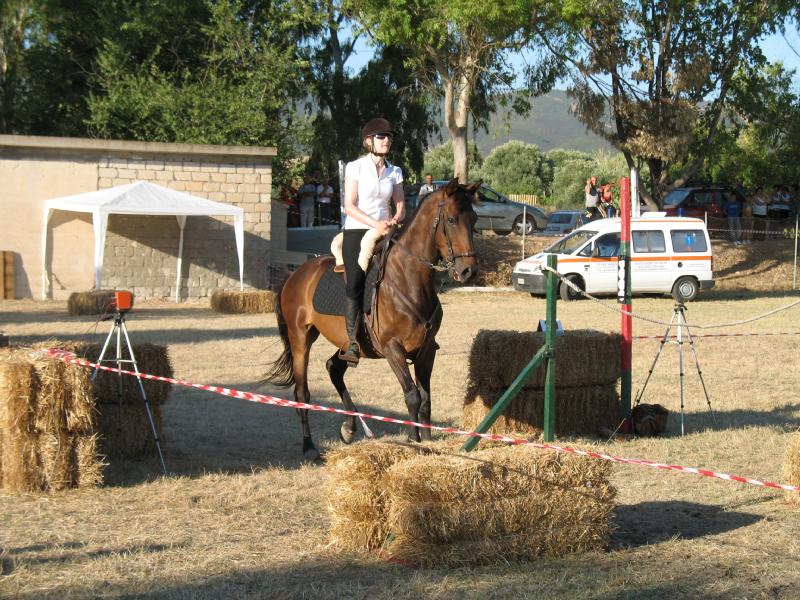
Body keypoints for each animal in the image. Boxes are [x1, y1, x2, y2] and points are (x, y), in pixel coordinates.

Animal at [264, 178, 480, 460]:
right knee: (302, 392)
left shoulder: (427, 350)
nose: (468, 271)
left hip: (347, 344)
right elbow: (412, 396)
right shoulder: (393, 348)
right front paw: (413, 439)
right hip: (300, 337)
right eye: (452, 220)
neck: (408, 278)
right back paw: (309, 446)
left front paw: (429, 442)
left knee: (334, 368)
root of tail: (296, 274)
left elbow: (426, 400)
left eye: (474, 219)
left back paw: (349, 426)